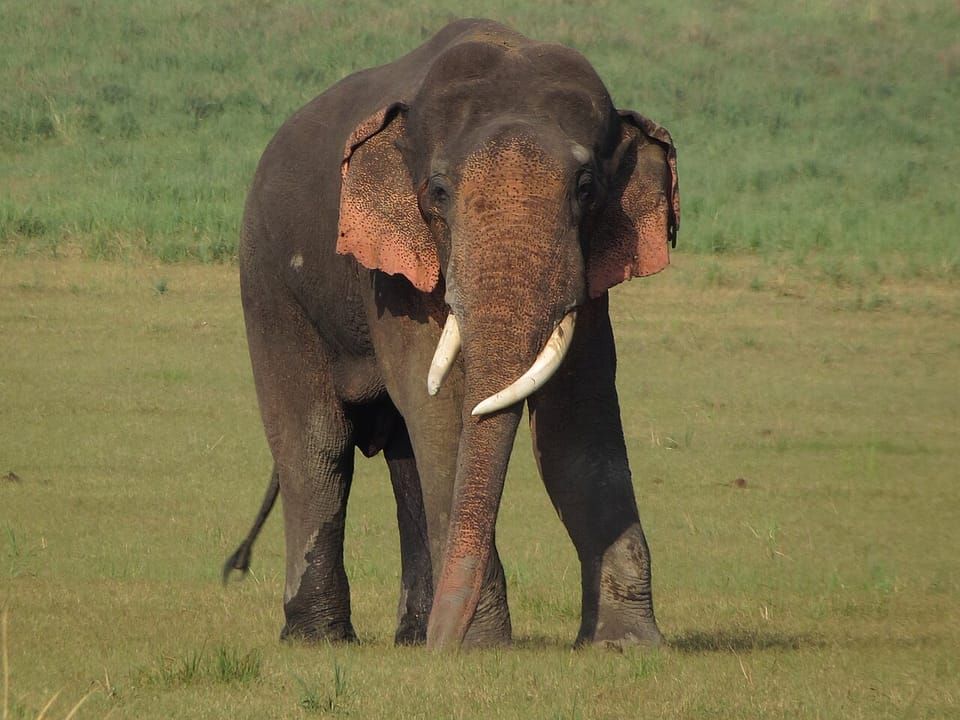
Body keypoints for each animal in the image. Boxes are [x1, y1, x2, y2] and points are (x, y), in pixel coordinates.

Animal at [224, 18, 679, 651]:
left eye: (587, 188)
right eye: (438, 192)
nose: (448, 638)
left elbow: (576, 416)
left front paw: (625, 646)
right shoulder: (391, 275)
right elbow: (437, 408)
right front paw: (479, 648)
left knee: (402, 459)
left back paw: (411, 637)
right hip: (268, 284)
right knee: (317, 445)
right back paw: (322, 640)